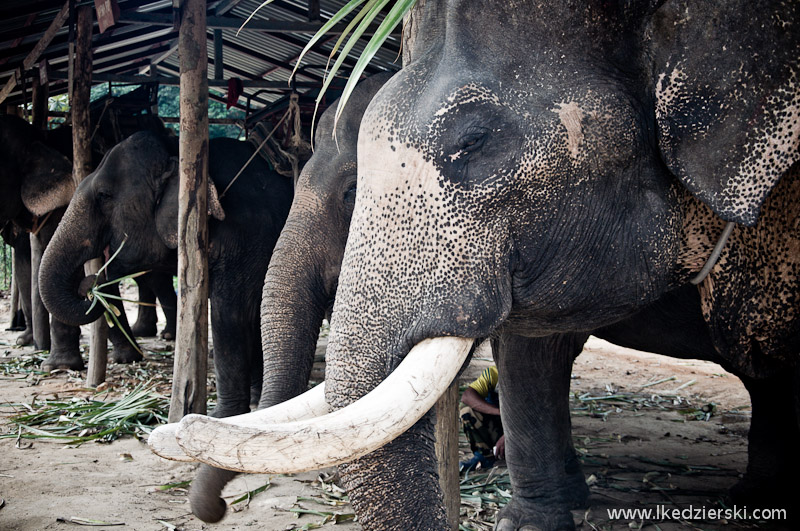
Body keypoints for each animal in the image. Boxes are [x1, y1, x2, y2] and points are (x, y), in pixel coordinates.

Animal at [38, 129, 294, 420]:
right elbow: (252, 314)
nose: (91, 283)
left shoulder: (247, 238)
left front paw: (221, 417)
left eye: (104, 195)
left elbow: (230, 314)